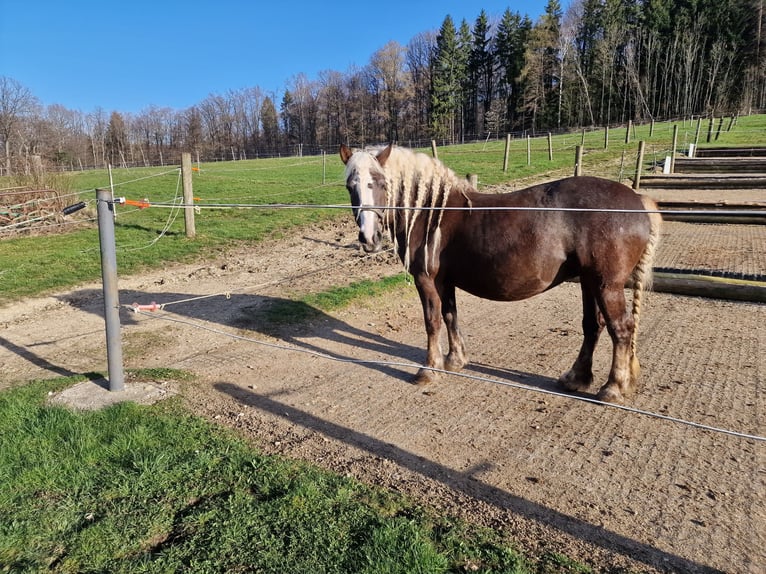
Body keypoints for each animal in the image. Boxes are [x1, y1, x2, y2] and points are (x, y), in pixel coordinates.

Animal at [340, 144, 664, 404]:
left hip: (606, 284)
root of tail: (638, 202)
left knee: (621, 329)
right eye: (350, 186)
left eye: (379, 182)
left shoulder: (427, 280)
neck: (432, 211)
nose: (368, 238)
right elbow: (450, 315)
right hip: (588, 281)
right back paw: (576, 378)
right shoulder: (446, 281)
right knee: (593, 326)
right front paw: (455, 360)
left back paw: (613, 387)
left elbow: (432, 322)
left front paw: (429, 370)